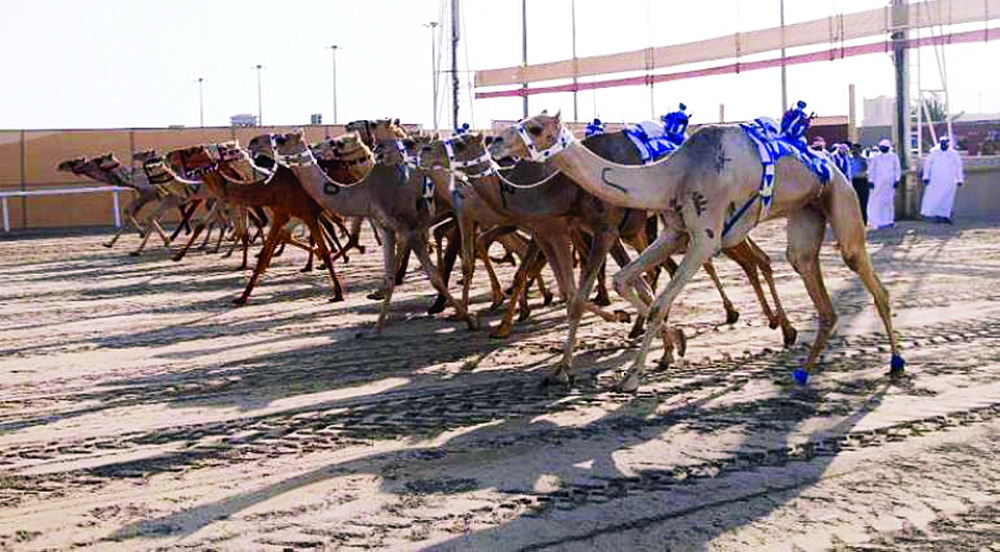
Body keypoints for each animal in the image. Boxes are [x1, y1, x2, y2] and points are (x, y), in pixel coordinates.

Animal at [488, 112, 904, 390]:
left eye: (535, 126)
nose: (494, 141)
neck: (674, 173)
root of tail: (831, 163)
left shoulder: (705, 238)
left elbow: (658, 302)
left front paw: (633, 375)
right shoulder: (674, 231)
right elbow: (624, 281)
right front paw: (671, 342)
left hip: (840, 199)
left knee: (866, 275)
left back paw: (896, 361)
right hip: (806, 213)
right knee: (808, 277)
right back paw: (802, 367)